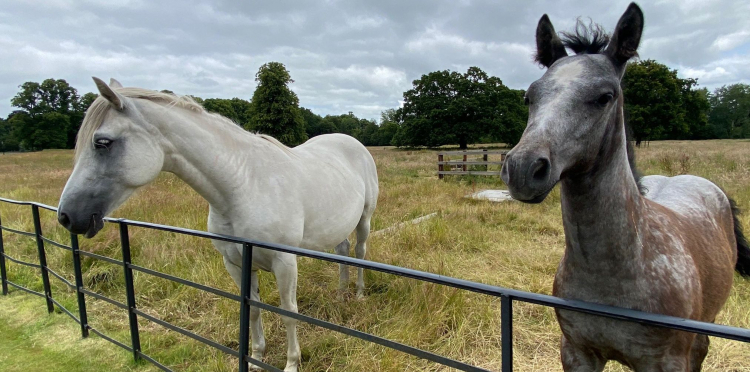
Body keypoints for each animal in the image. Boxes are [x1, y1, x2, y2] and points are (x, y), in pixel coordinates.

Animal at [57, 77, 382, 370]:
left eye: (102, 143)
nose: (67, 216)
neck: (243, 186)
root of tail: (352, 142)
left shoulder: (284, 263)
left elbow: (289, 312)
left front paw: (291, 364)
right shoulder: (236, 263)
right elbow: (252, 311)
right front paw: (256, 359)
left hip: (364, 220)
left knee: (360, 251)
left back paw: (358, 294)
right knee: (342, 250)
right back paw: (340, 295)